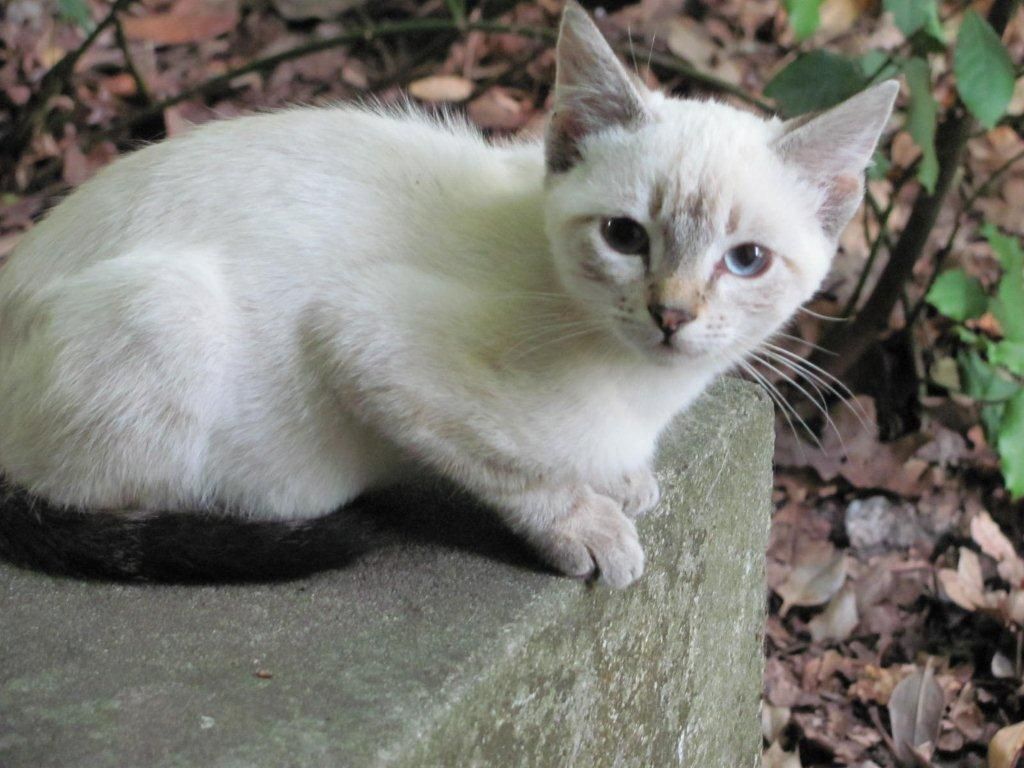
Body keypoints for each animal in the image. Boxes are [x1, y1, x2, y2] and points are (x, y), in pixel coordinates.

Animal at [0, 3, 897, 585]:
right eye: (625, 236)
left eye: (746, 260)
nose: (671, 314)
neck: (646, 389)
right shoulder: (362, 338)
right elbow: (510, 465)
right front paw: (586, 522)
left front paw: (624, 478)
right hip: (170, 308)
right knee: (89, 497)